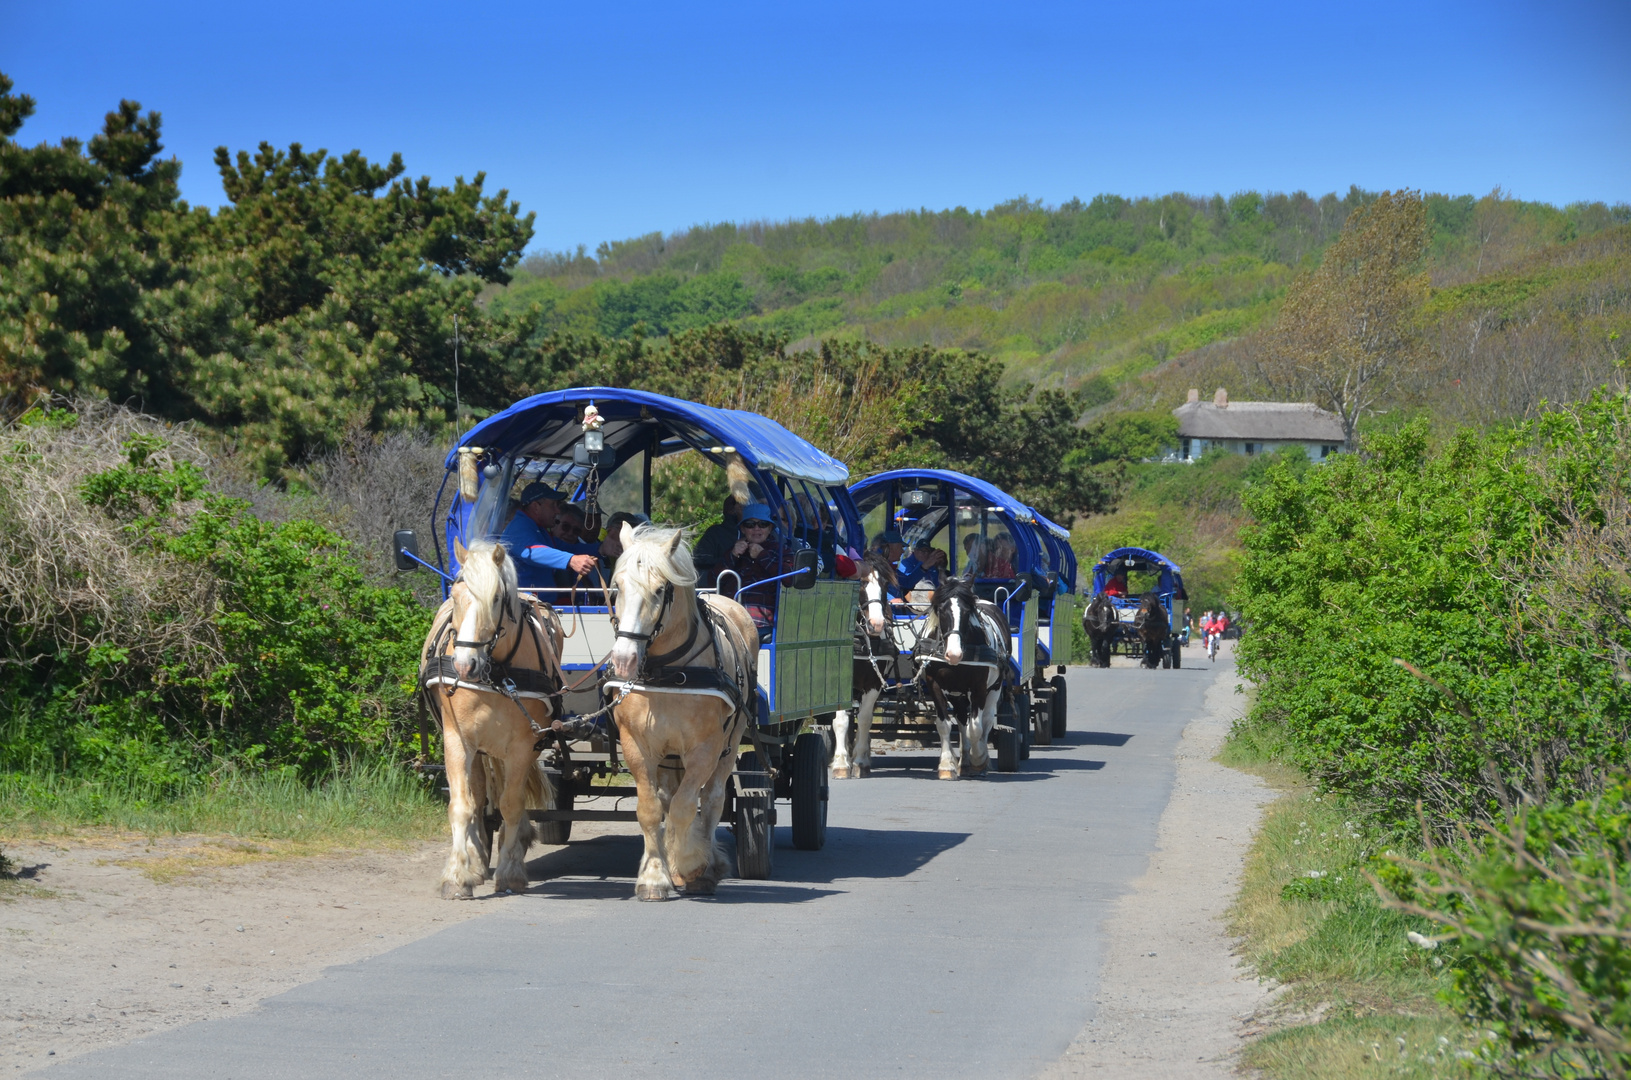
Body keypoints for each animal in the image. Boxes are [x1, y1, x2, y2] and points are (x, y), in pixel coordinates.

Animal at [420, 538, 567, 900]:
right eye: (456, 594)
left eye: (497, 598)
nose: (464, 665)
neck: (496, 673)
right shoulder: (457, 741)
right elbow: (462, 805)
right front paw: (457, 876)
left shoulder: (522, 746)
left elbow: (511, 804)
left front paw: (510, 872)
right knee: (479, 796)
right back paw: (475, 862)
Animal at [606, 525, 756, 907]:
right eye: (617, 586)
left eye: (660, 590)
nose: (624, 659)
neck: (669, 673)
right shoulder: (638, 747)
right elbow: (651, 810)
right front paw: (655, 877)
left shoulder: (704, 750)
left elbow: (688, 807)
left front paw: (690, 864)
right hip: (669, 757)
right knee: (668, 799)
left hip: (729, 744)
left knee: (712, 799)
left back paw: (705, 862)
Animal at [835, 554, 900, 783]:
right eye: (861, 583)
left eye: (886, 584)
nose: (876, 624)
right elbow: (841, 721)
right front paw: (840, 763)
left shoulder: (873, 684)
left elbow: (864, 719)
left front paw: (860, 762)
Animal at [919, 580, 1004, 783]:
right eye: (942, 611)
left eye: (966, 612)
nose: (954, 654)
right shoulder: (934, 684)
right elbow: (945, 725)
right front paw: (947, 765)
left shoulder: (979, 687)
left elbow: (976, 728)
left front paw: (978, 760)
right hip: (957, 694)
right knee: (961, 719)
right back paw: (964, 762)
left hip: (995, 688)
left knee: (986, 721)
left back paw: (979, 759)